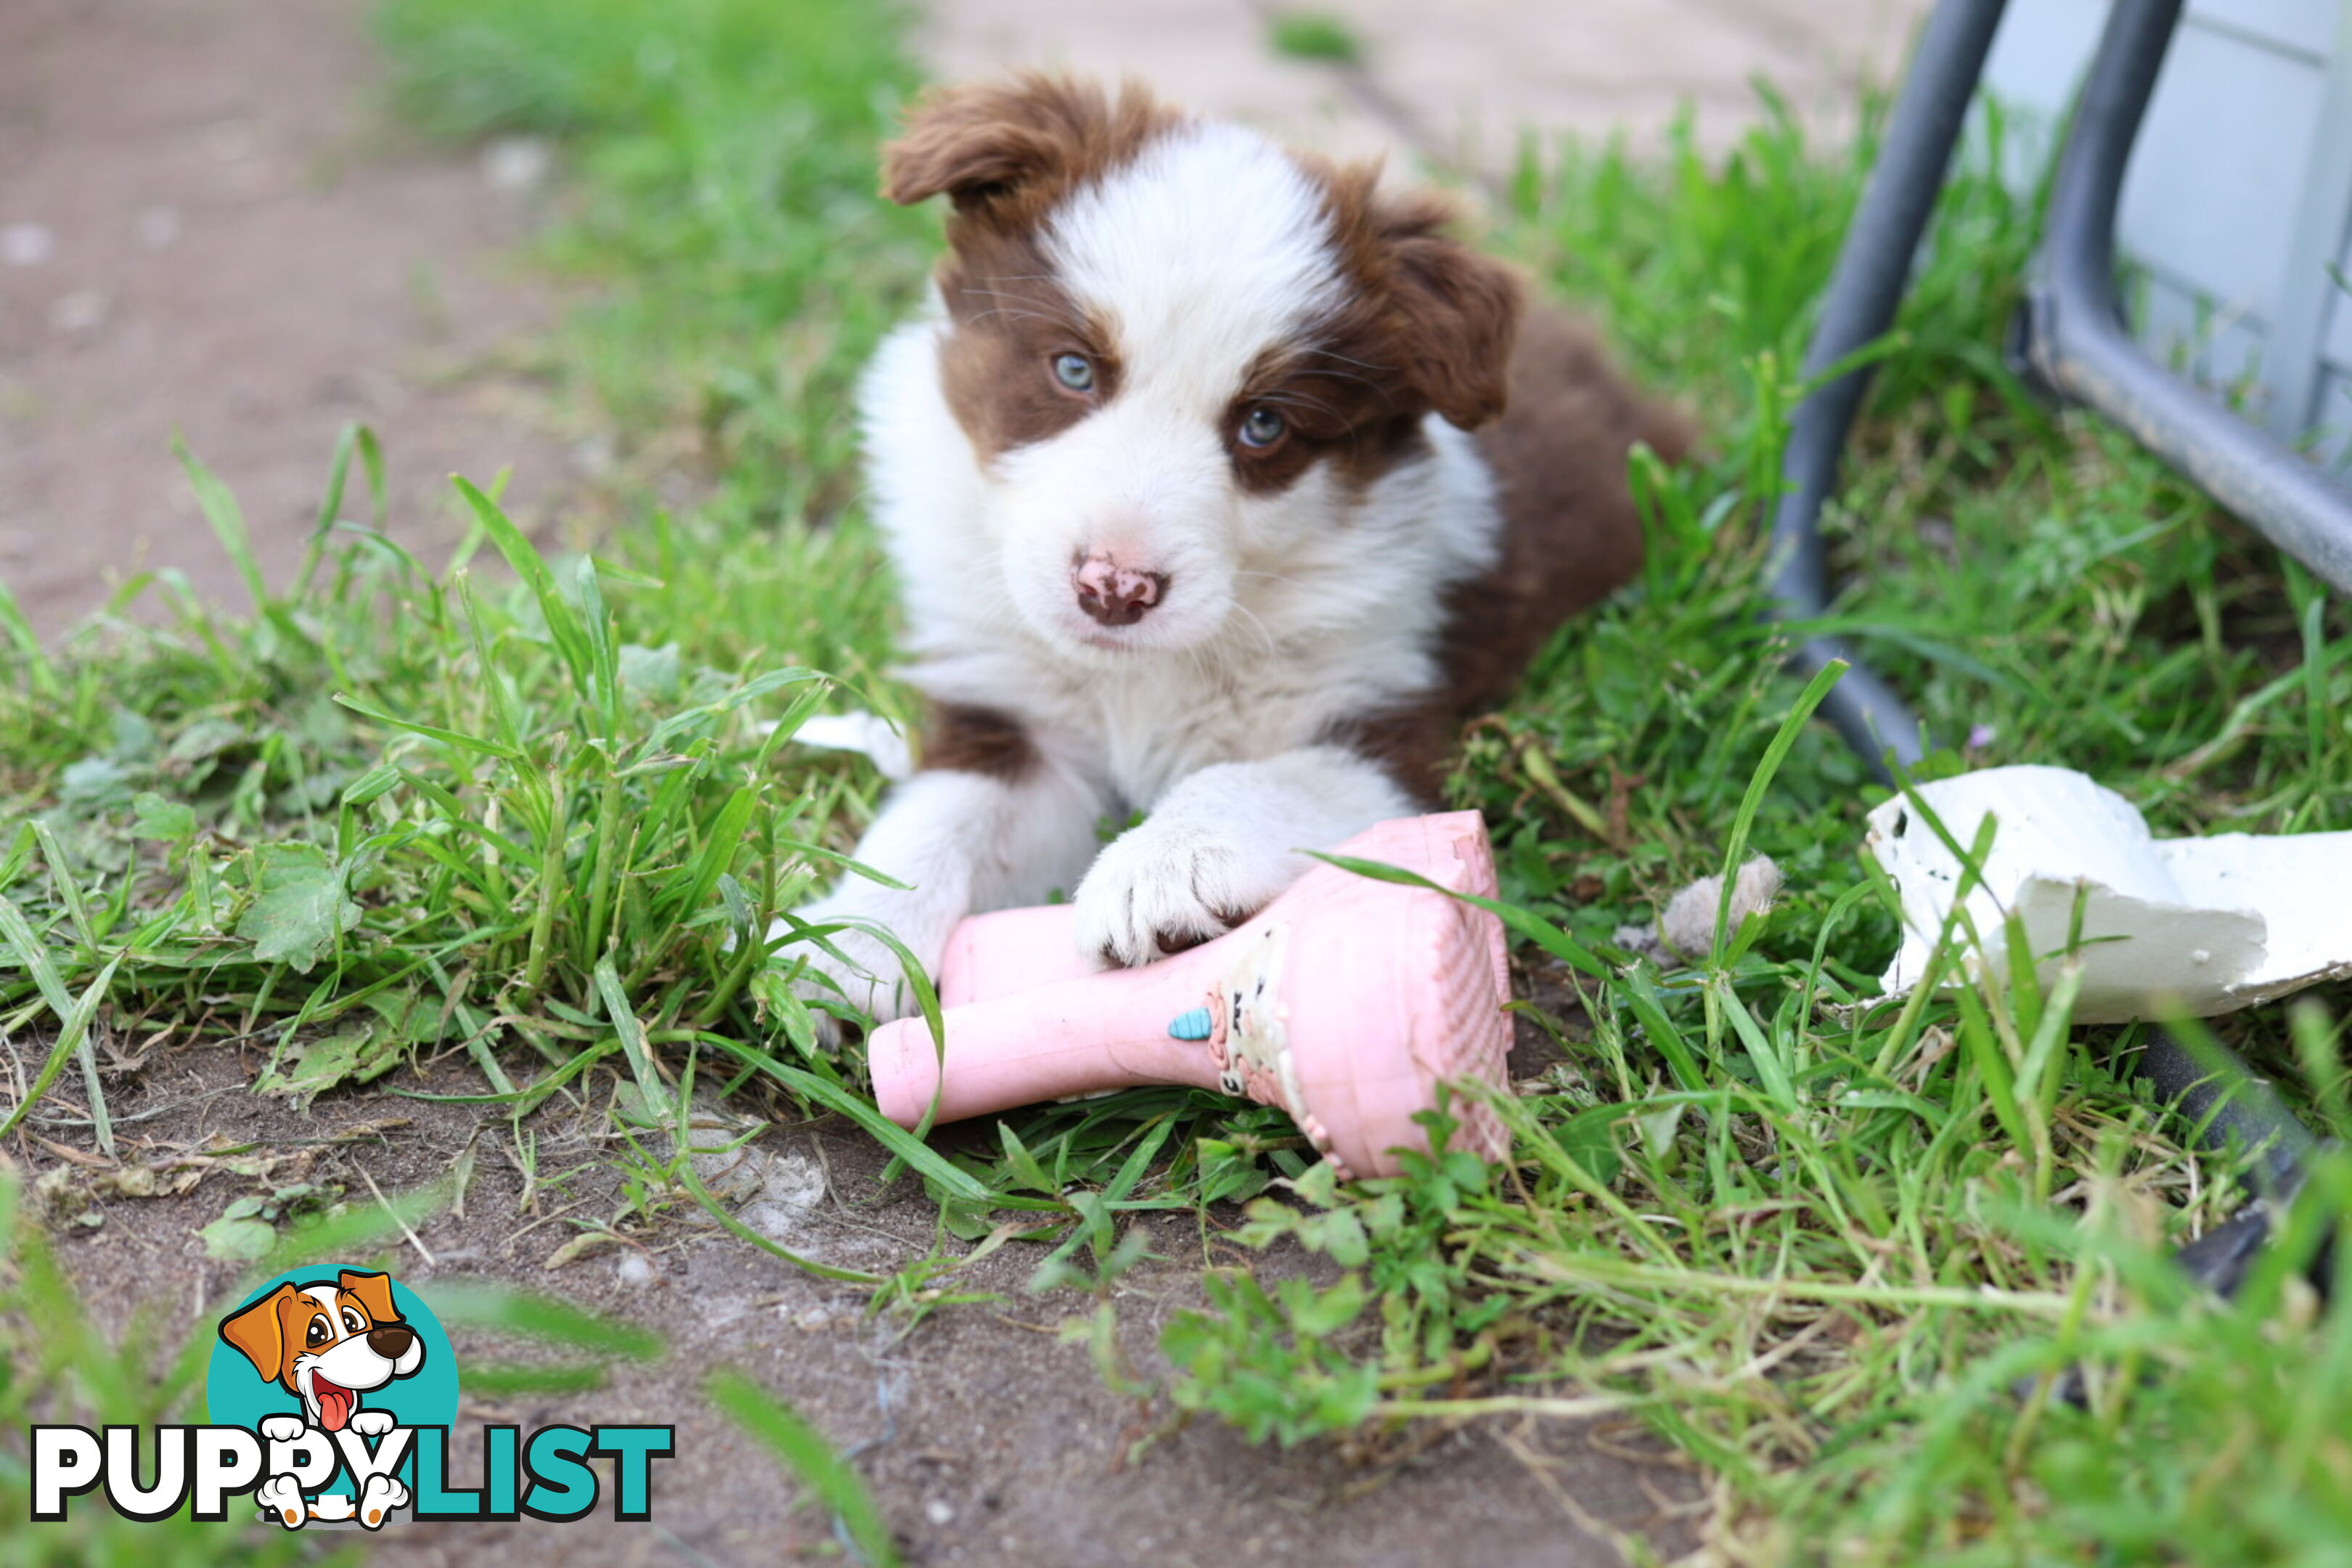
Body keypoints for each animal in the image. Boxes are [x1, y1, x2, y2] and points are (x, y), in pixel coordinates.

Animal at [790, 80, 1693, 1024]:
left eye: (1264, 424)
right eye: (1073, 371)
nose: (1114, 590)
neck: (1141, 673)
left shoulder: (1384, 720)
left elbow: (1256, 779)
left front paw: (1164, 865)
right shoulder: (1015, 720)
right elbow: (938, 815)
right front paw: (848, 943)